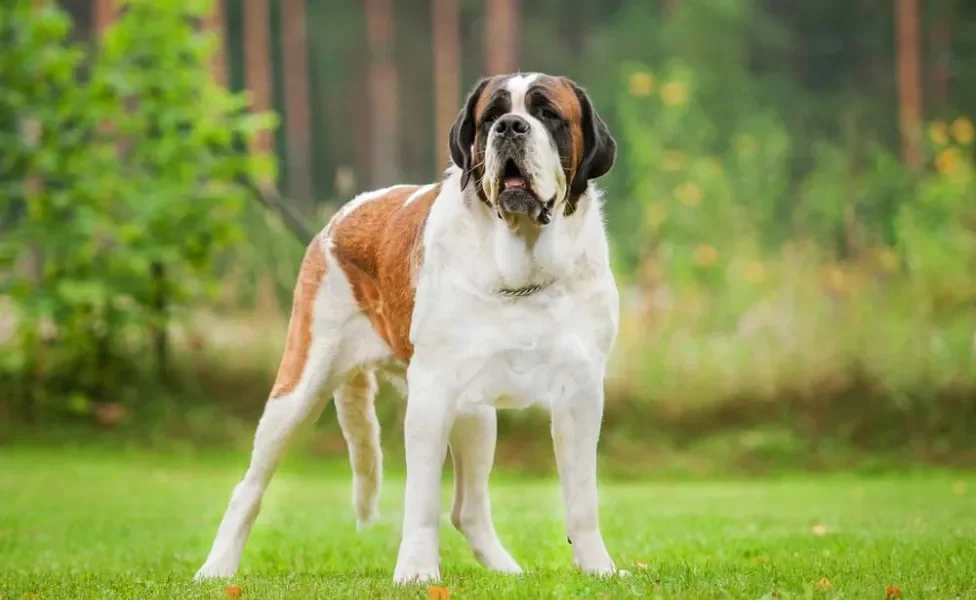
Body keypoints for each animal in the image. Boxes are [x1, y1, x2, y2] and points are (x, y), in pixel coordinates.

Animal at [194, 72, 620, 584]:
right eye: (491, 117)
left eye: (548, 114)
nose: (511, 127)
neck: (521, 269)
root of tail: (341, 216)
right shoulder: (432, 393)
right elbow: (421, 498)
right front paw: (417, 572)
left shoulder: (581, 394)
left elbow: (583, 498)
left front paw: (598, 569)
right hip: (297, 391)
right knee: (249, 487)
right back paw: (216, 568)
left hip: (475, 413)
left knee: (468, 509)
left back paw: (505, 570)